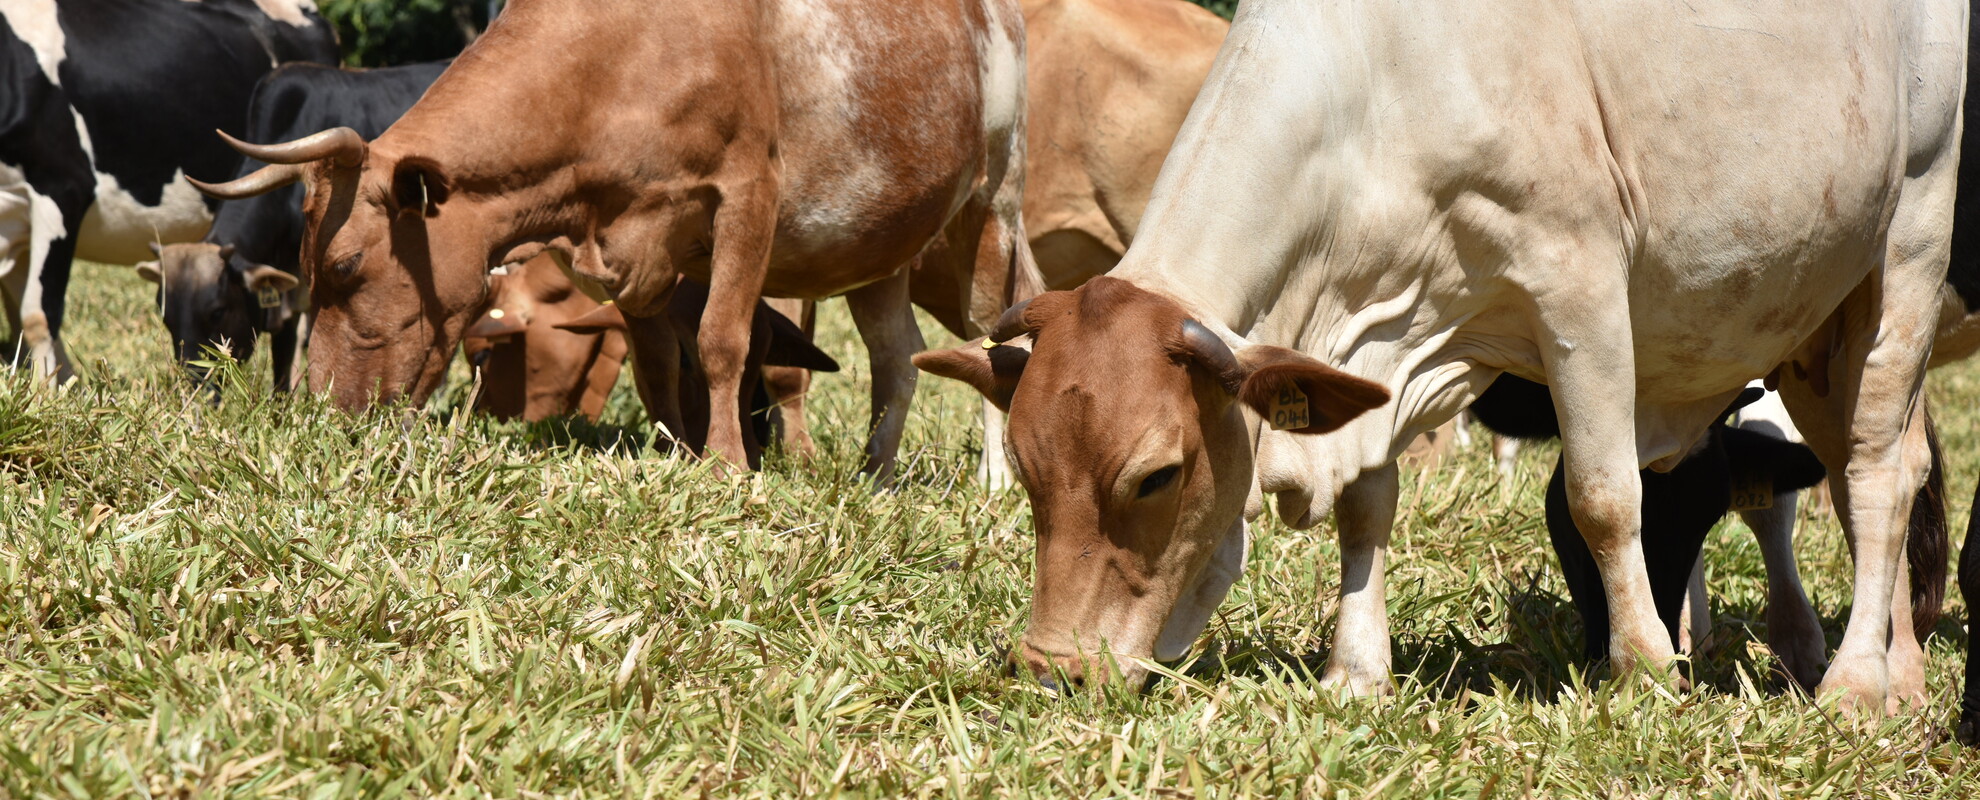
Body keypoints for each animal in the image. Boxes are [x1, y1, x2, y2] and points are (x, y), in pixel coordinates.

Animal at [191, 0, 1034, 485]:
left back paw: (993, 480)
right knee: (897, 356)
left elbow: (722, 339)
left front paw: (725, 465)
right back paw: (875, 473)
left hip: (994, 204)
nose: (325, 411)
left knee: (995, 334)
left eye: (345, 263)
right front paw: (676, 451)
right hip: (881, 243)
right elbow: (658, 363)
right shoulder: (629, 254)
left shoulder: (748, 196)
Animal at [916, 0, 1964, 716]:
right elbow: (1367, 506)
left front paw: (1642, 669)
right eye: (1026, 472)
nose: (1052, 671)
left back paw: (1858, 683)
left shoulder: (1577, 280)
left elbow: (1603, 495)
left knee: (1875, 476)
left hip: (1909, 239)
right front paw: (1355, 670)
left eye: (1157, 476)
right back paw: (1905, 677)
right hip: (1816, 327)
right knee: (1881, 473)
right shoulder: (1389, 337)